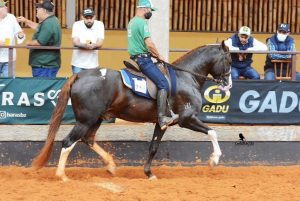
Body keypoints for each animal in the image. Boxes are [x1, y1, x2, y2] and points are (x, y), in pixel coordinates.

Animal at [32, 40, 232, 181]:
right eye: (229, 61)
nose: (228, 84)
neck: (186, 77)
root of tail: (80, 75)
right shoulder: (186, 118)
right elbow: (212, 132)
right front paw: (214, 159)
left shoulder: (162, 123)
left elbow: (153, 147)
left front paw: (149, 173)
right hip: (85, 120)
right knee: (68, 142)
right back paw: (62, 176)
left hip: (96, 118)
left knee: (88, 139)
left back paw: (111, 165)